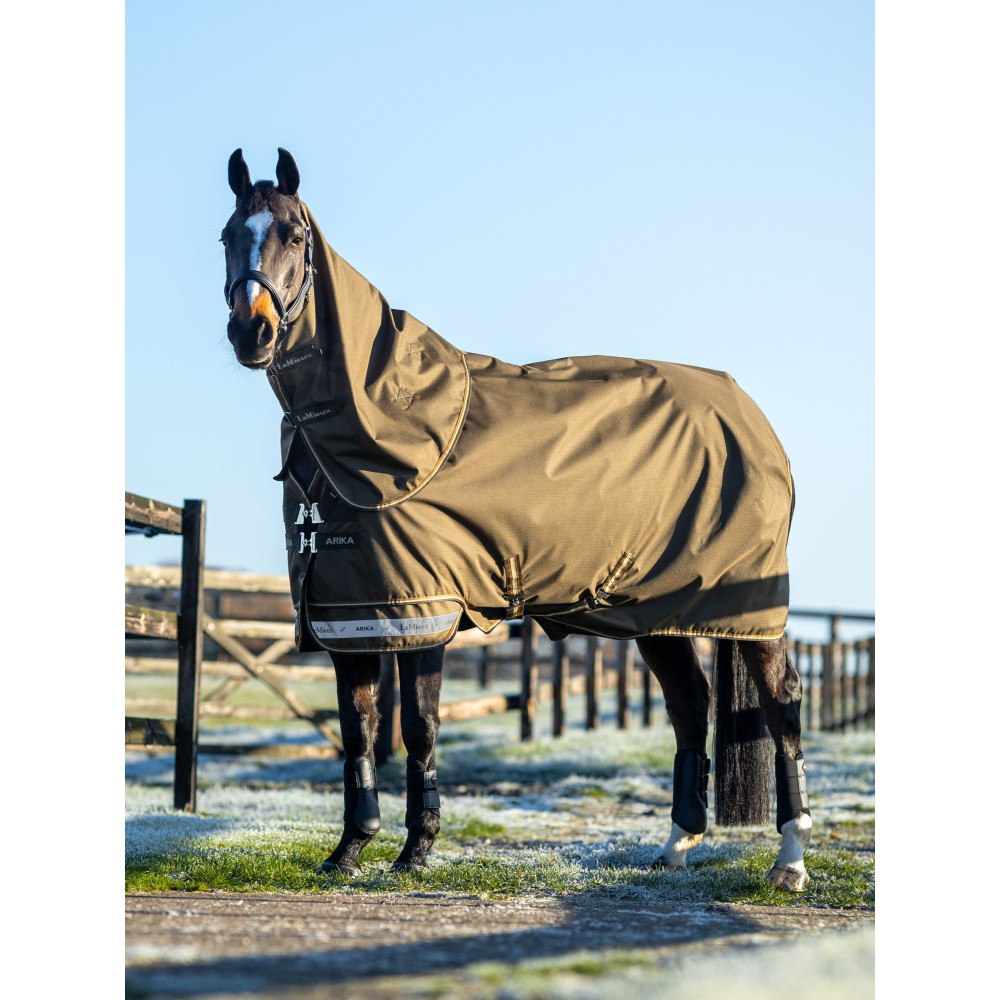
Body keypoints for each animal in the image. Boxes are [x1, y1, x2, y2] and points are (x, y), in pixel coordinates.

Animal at [221, 147, 812, 892]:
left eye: (295, 235)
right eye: (226, 235)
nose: (252, 331)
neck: (381, 426)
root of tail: (753, 418)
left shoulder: (425, 609)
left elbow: (418, 727)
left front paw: (416, 851)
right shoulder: (349, 613)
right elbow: (358, 732)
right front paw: (348, 852)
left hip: (748, 606)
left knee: (781, 703)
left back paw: (790, 861)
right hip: (657, 611)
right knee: (689, 704)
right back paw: (675, 846)